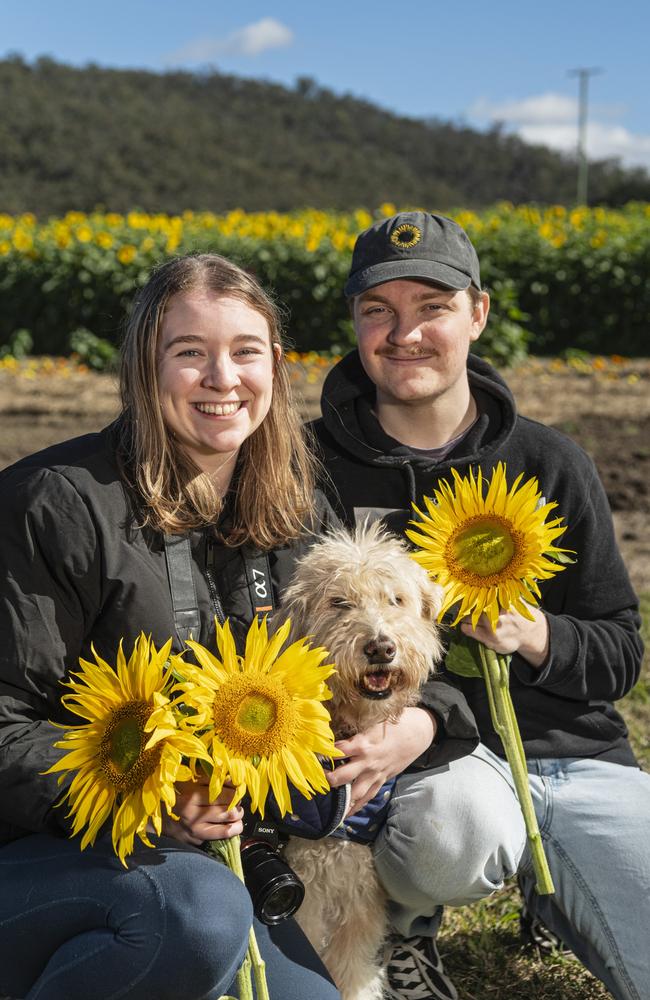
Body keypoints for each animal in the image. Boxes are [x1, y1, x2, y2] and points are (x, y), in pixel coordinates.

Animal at [276, 524, 442, 1000]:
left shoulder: (361, 896)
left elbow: (353, 970)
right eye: (339, 602)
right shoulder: (308, 892)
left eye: (395, 600)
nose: (381, 648)